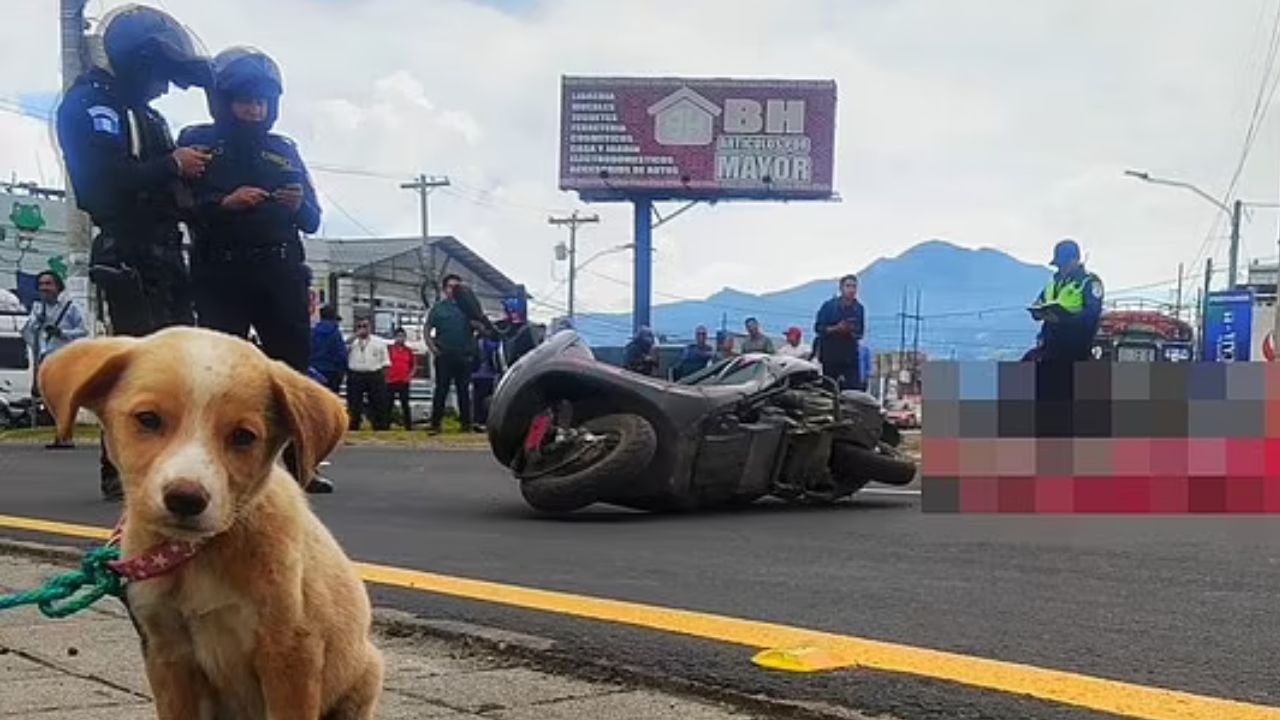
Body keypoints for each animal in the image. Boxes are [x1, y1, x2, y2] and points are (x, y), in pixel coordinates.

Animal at [42, 326, 386, 717]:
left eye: (243, 436)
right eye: (148, 419)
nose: (185, 498)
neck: (201, 555)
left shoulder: (291, 652)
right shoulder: (168, 654)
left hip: (365, 675)